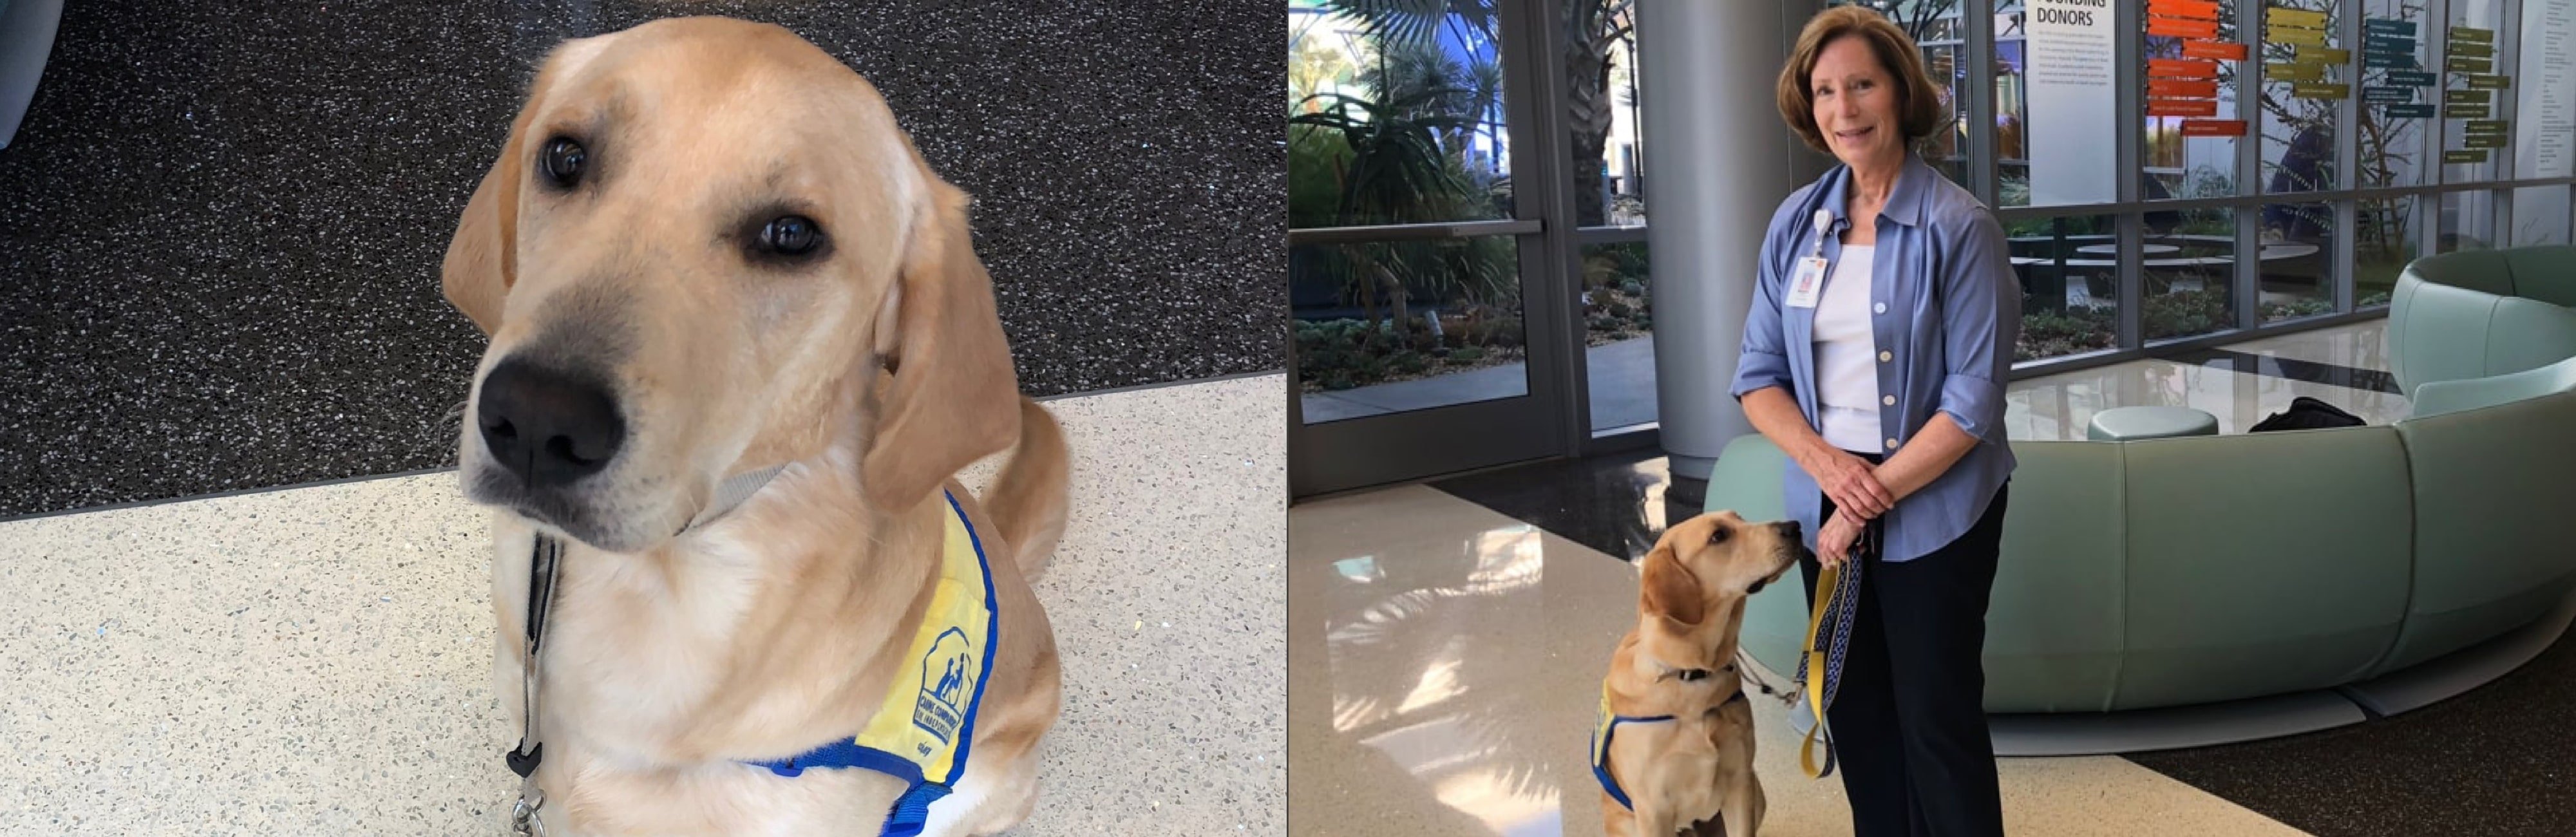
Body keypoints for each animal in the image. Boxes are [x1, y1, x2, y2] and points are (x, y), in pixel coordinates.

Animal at [1597, 507, 1803, 834]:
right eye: (1718, 536)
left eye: (1741, 519)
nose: (1794, 527)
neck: (1691, 674)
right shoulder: (1654, 810)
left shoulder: (1740, 783)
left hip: (1758, 793)